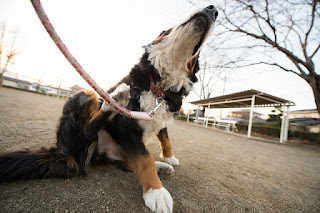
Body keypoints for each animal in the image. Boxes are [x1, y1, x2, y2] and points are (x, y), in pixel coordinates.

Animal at [0, 5, 218, 213]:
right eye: (167, 29)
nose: (213, 10)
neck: (160, 85)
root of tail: (65, 153)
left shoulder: (159, 117)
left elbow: (164, 139)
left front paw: (169, 158)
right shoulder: (128, 127)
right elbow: (145, 158)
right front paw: (156, 192)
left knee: (128, 163)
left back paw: (161, 166)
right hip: (87, 93)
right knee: (89, 131)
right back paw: (114, 102)